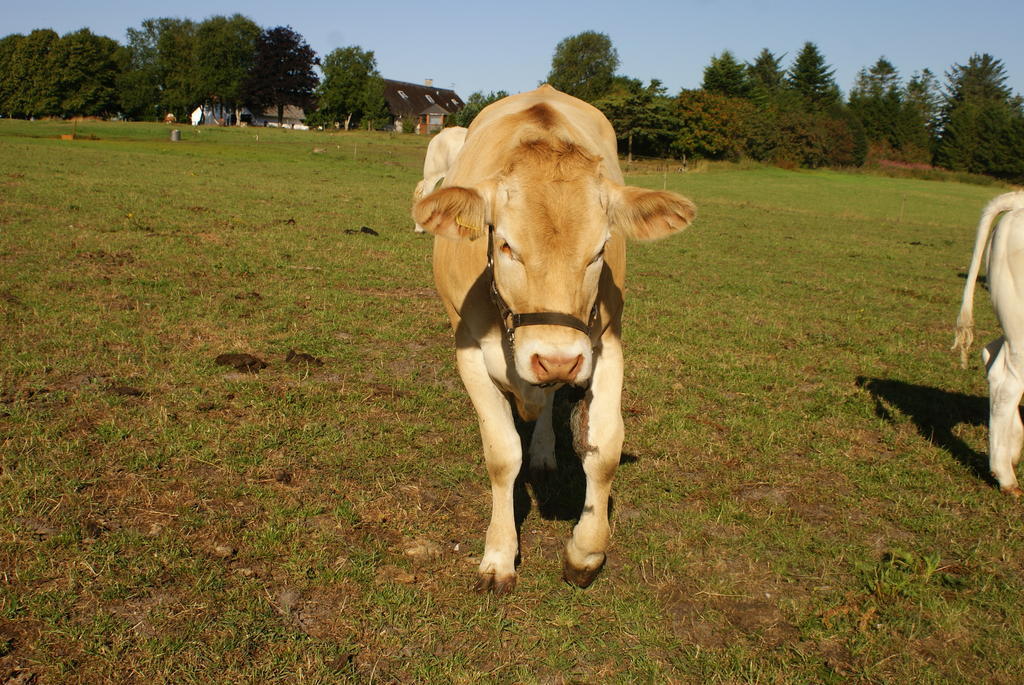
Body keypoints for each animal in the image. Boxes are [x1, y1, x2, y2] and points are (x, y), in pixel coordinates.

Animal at [409, 82, 696, 589]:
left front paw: (585, 552)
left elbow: (605, 448)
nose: (557, 359)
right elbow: (502, 454)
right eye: (505, 244)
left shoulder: (605, 343)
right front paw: (499, 555)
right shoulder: (468, 352)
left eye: (600, 249)